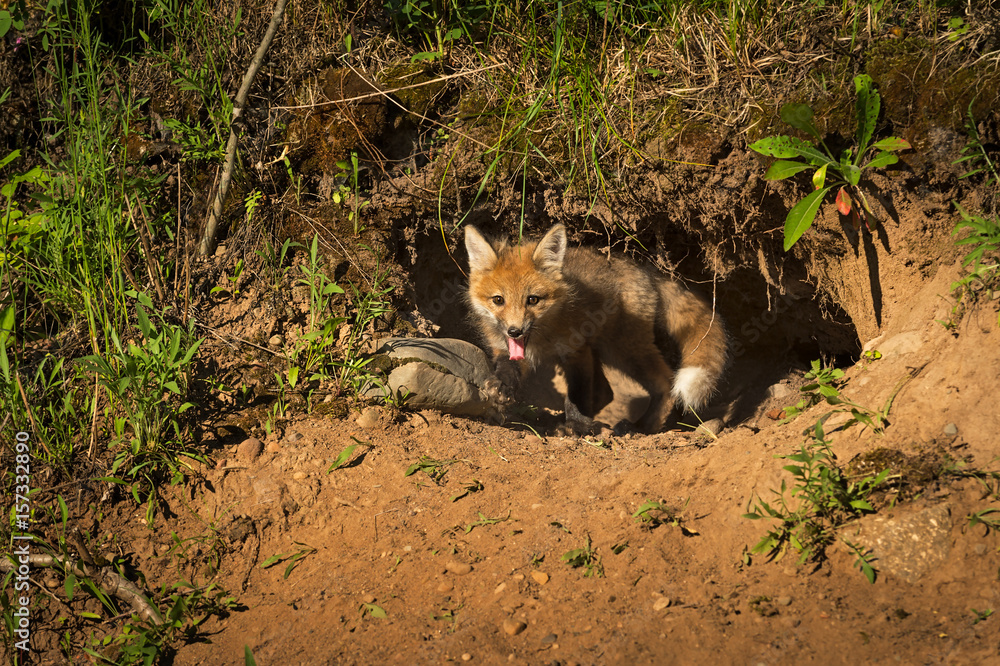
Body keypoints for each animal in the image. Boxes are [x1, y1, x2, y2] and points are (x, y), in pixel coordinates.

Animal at [464, 223, 728, 434]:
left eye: (533, 300)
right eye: (498, 300)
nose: (515, 331)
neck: (541, 339)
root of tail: (643, 268)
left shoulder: (577, 352)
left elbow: (577, 394)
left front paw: (577, 425)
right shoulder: (506, 349)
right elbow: (507, 370)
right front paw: (500, 389)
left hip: (622, 349)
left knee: (664, 382)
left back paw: (642, 427)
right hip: (607, 351)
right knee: (606, 392)